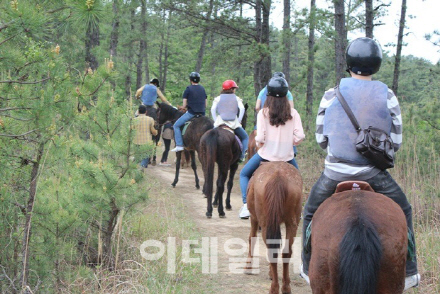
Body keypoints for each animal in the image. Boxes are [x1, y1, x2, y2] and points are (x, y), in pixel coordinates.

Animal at [244, 162, 302, 294]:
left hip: (265, 222)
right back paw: (285, 287)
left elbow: (251, 238)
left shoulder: (254, 218)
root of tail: (277, 176)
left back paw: (274, 288)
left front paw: (248, 266)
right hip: (292, 223)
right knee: (286, 252)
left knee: (272, 251)